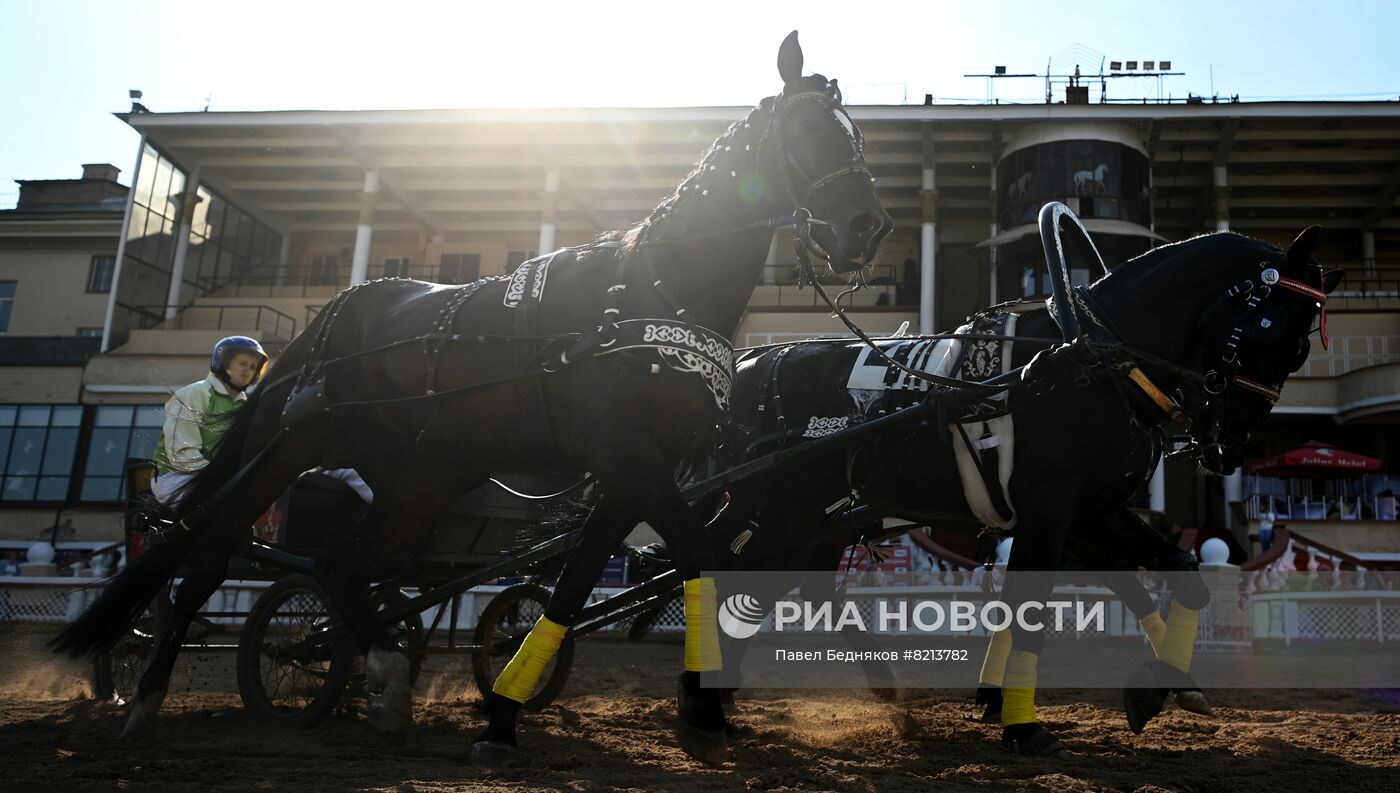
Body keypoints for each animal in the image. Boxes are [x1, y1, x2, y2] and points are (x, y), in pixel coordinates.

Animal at [57, 32, 884, 773]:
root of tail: (330, 317)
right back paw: (146, 697)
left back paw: (386, 677)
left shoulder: (631, 472)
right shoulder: (624, 454)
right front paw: (697, 705)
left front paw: (511, 713)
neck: (651, 289)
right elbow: (694, 555)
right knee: (205, 559)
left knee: (340, 564)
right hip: (286, 450)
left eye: (857, 133)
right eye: (808, 130)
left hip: (425, 475)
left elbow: (576, 584)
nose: (865, 228)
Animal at [697, 225, 1332, 756]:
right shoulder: (1053, 506)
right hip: (783, 513)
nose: (1234, 439)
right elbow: (1031, 608)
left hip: (805, 521)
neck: (1087, 360)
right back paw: (710, 702)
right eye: (1271, 328)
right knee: (731, 580)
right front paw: (1023, 726)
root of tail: (750, 363)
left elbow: (1176, 576)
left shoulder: (1092, 515)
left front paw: (1165, 687)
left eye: (1302, 349)